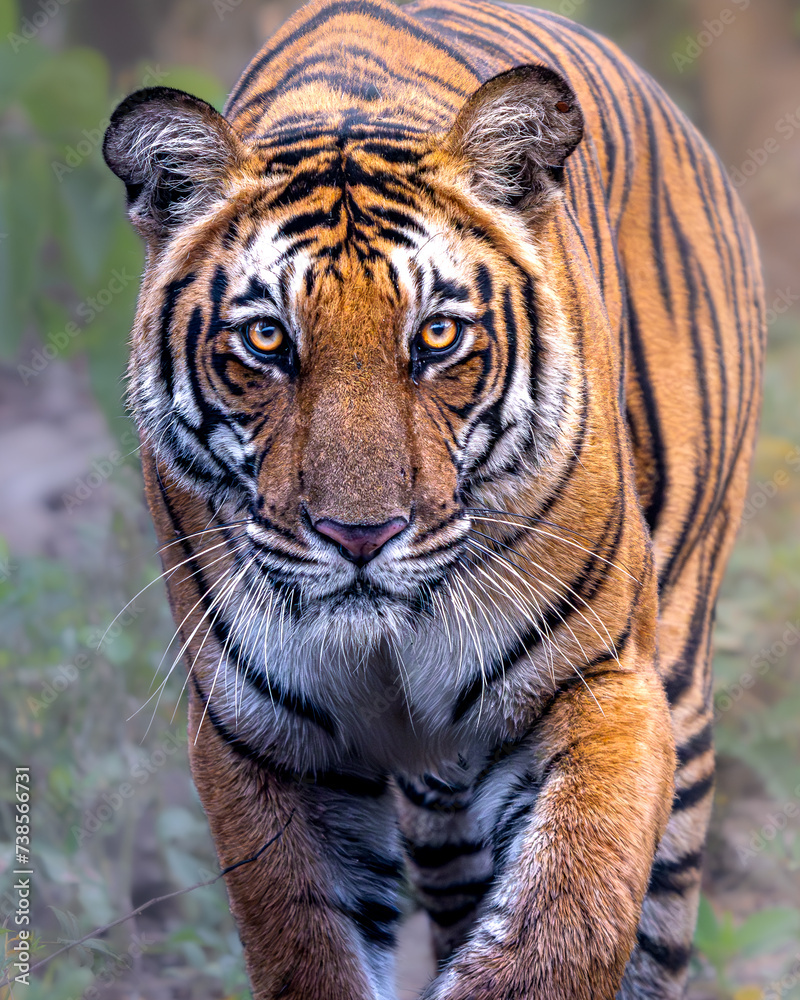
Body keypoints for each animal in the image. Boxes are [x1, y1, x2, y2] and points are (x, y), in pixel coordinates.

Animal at [102, 0, 764, 996]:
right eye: (267, 340)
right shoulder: (259, 736)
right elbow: (308, 944)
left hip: (680, 692)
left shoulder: (599, 680)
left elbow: (563, 921)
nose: (359, 536)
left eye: (439, 336)